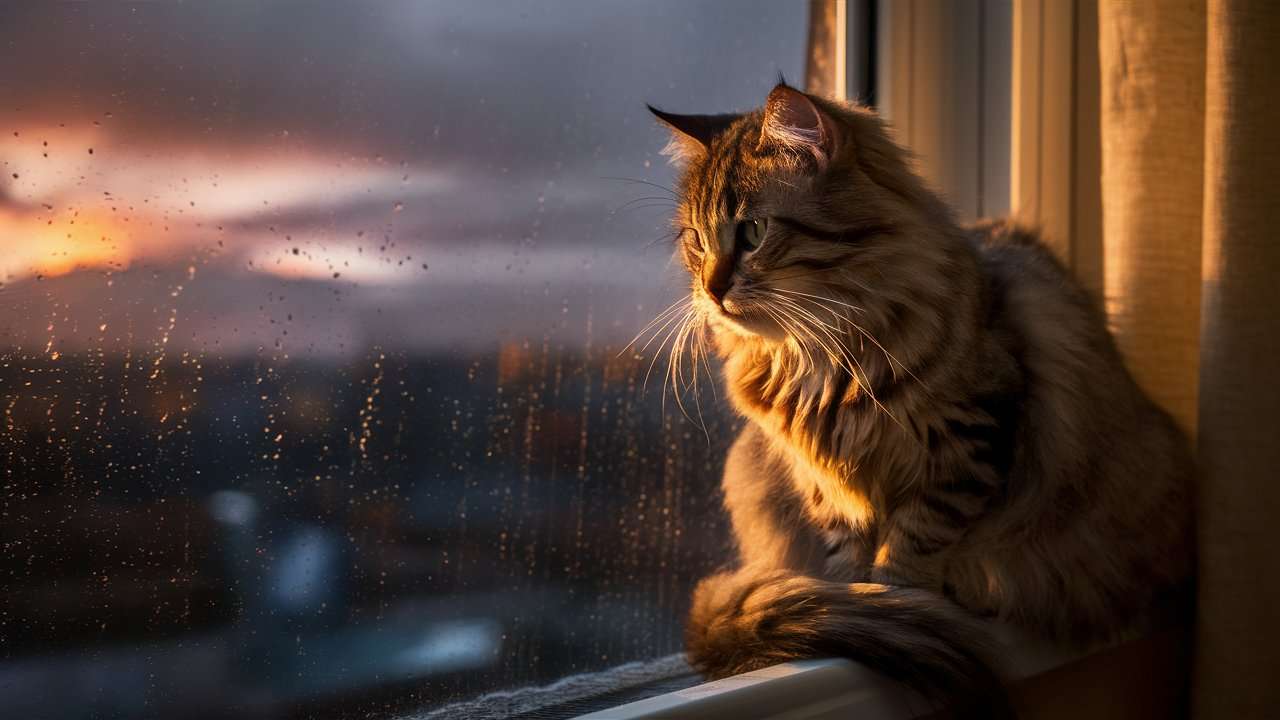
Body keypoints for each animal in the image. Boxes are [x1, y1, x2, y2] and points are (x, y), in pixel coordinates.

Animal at [645, 85, 1192, 707]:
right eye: (695, 241)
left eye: (754, 232)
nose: (710, 290)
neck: (822, 358)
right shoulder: (825, 485)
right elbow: (848, 554)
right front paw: (861, 598)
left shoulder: (968, 444)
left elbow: (912, 543)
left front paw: (896, 598)